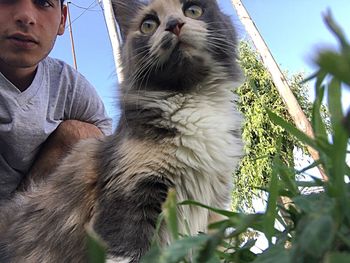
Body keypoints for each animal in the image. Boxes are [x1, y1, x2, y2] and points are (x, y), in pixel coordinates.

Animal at [0, 0, 243, 262]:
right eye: (148, 25)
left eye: (193, 11)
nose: (173, 25)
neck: (190, 97)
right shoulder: (131, 196)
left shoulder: (211, 209)